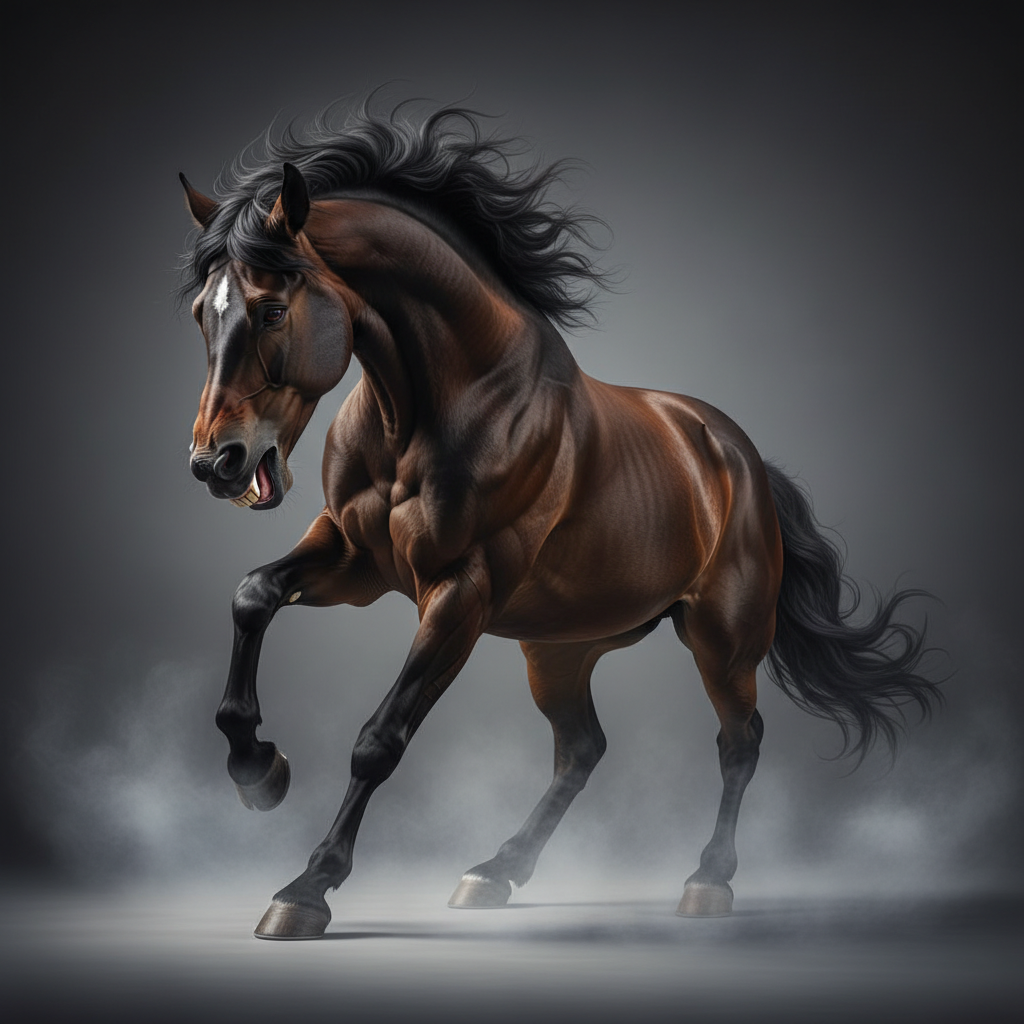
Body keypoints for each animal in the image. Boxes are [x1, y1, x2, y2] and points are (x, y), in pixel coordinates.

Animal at [180, 103, 939, 939]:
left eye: (273, 309)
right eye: (202, 314)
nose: (216, 462)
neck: (430, 410)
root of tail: (738, 455)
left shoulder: (458, 594)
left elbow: (379, 739)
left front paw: (306, 889)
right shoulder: (354, 559)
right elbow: (253, 595)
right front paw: (259, 771)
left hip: (723, 636)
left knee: (739, 742)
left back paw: (706, 882)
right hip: (560, 647)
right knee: (582, 748)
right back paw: (494, 871)